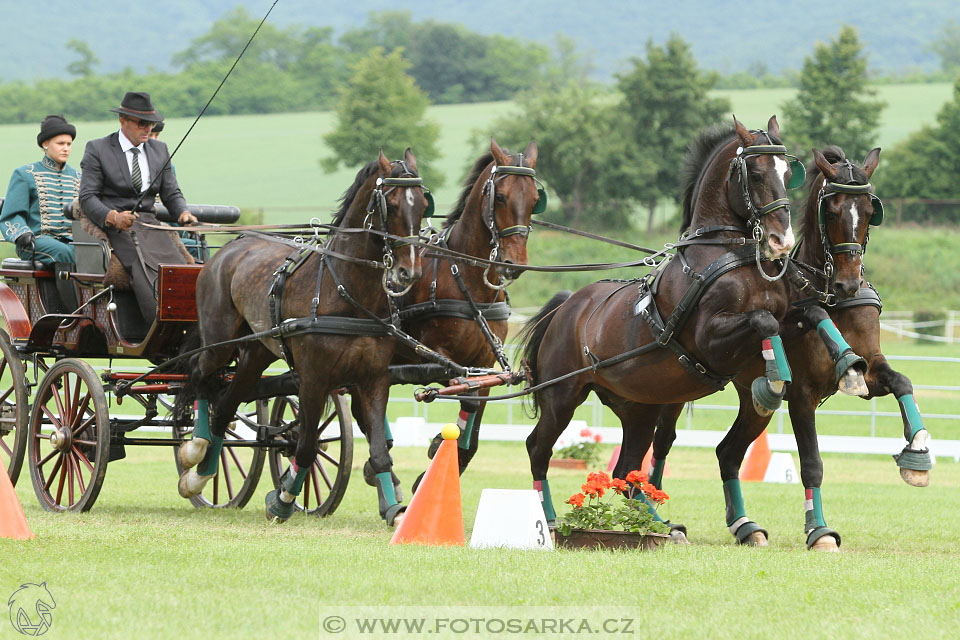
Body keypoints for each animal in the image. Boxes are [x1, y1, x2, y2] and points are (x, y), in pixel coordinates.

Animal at [177, 150, 432, 524]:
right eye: (393, 205)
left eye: (424, 204)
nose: (408, 272)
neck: (346, 290)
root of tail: (230, 248)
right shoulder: (314, 378)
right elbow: (308, 445)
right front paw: (281, 501)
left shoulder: (373, 379)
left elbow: (378, 450)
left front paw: (395, 510)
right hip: (218, 343)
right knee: (199, 375)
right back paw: (194, 450)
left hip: (256, 353)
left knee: (225, 406)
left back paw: (203, 473)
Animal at [356, 136, 544, 496]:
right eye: (500, 196)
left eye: (535, 199)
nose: (514, 263)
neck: (464, 281)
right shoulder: (436, 359)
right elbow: (465, 396)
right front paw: (434, 452)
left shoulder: (484, 362)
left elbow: (474, 412)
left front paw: (448, 457)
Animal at [520, 116, 828, 540]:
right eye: (756, 173)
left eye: (786, 174)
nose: (782, 241)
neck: (727, 254)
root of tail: (567, 305)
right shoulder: (709, 340)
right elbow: (761, 321)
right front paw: (772, 382)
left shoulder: (786, 317)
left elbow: (807, 315)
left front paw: (848, 364)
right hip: (561, 396)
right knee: (539, 449)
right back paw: (547, 520)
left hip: (638, 407)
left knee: (625, 471)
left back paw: (654, 524)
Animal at [620, 145, 932, 552]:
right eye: (831, 212)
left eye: (869, 212)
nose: (849, 284)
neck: (828, 295)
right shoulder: (802, 395)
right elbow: (812, 463)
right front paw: (819, 531)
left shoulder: (874, 369)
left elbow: (901, 381)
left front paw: (918, 448)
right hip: (675, 387)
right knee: (663, 443)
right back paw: (659, 517)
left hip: (757, 406)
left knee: (728, 452)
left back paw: (744, 525)